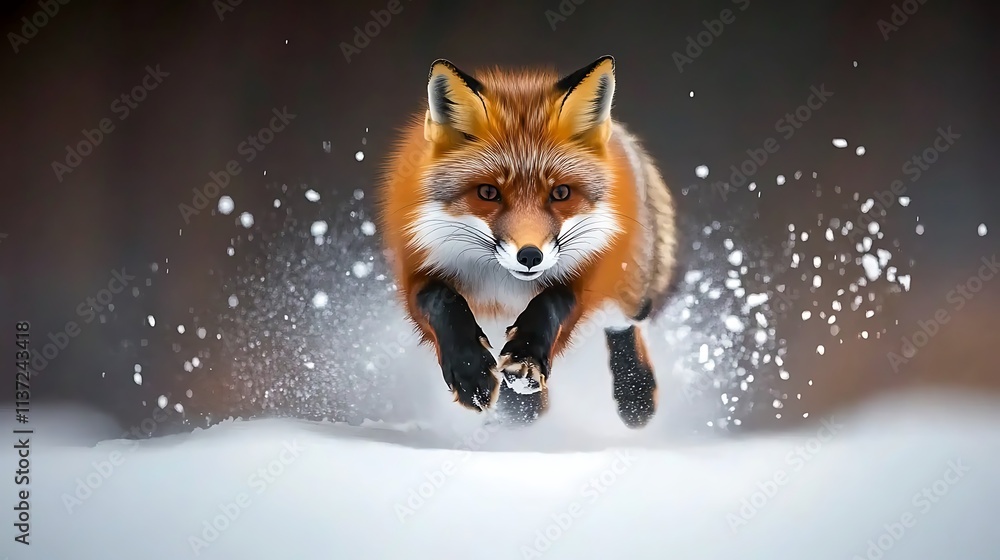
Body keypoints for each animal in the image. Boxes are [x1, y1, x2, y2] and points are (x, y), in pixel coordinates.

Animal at [377, 55, 678, 428]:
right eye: (488, 193)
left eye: (561, 193)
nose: (530, 256)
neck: (502, 284)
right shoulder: (416, 270)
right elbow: (439, 301)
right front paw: (471, 371)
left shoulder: (584, 277)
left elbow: (553, 303)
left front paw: (526, 358)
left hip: (628, 280)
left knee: (625, 321)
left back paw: (634, 394)